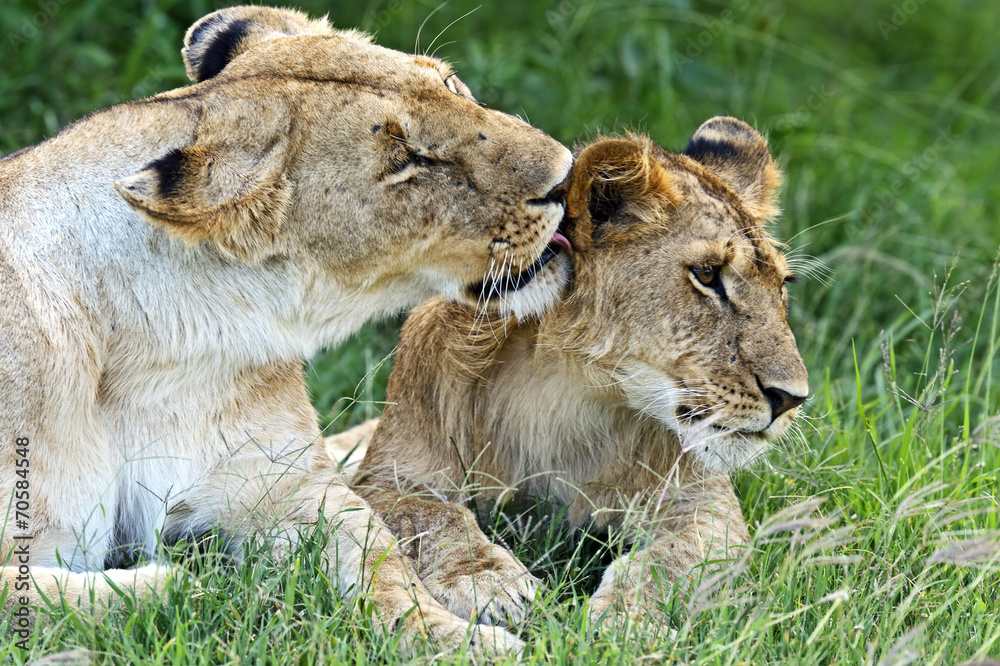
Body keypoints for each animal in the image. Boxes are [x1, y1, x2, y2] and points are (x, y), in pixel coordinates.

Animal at [0, 6, 573, 654]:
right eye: (408, 162)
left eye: (452, 86)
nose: (566, 176)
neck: (144, 340)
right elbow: (46, 597)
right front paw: (187, 581)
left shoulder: (286, 486)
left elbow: (381, 565)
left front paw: (458, 643)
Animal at [350, 118, 809, 626]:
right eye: (707, 275)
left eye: (782, 286)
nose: (792, 398)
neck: (577, 388)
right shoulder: (387, 479)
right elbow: (434, 516)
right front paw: (489, 581)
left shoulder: (706, 506)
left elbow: (672, 560)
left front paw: (625, 617)